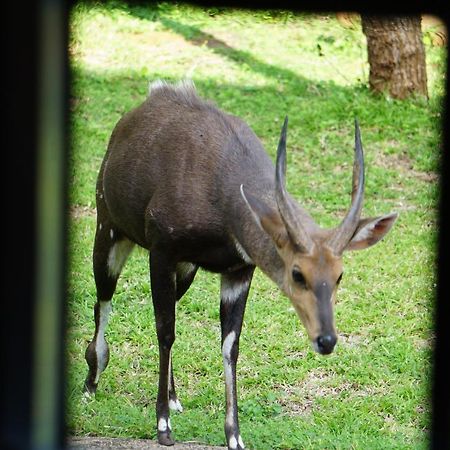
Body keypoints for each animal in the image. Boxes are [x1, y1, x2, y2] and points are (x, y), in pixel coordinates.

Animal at [83, 81, 398, 450]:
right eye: (298, 273)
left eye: (339, 275)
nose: (327, 340)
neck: (223, 201)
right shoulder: (161, 251)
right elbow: (165, 331)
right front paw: (163, 426)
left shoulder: (238, 271)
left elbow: (229, 346)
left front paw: (234, 436)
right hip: (109, 231)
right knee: (103, 299)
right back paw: (91, 382)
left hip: (185, 271)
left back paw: (175, 398)